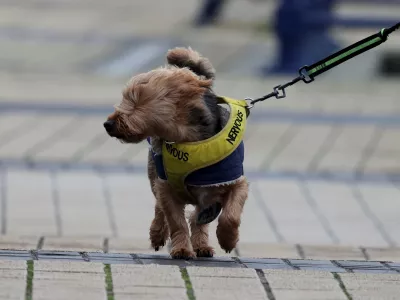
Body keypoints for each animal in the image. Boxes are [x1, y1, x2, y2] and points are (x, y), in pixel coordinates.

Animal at [104, 46, 250, 258]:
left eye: (137, 99)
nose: (108, 124)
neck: (188, 140)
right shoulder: (167, 189)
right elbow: (176, 222)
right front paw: (181, 248)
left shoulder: (236, 183)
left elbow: (230, 215)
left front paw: (228, 239)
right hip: (155, 175)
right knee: (161, 208)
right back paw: (158, 233)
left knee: (198, 218)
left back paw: (202, 245)